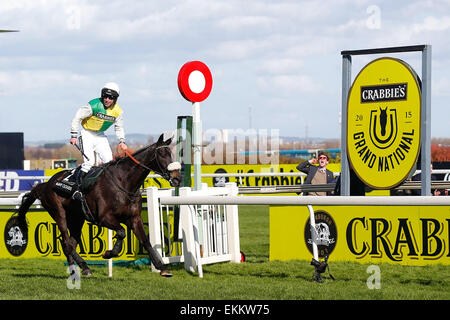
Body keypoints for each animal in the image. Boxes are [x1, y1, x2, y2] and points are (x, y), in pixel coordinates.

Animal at [15, 134, 181, 276]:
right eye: (162, 154)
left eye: (171, 154)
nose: (177, 178)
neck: (124, 183)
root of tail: (46, 184)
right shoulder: (104, 218)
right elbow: (122, 232)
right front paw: (109, 253)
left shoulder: (134, 218)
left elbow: (146, 241)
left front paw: (162, 268)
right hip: (58, 212)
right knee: (67, 242)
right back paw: (82, 267)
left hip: (77, 218)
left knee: (70, 243)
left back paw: (77, 269)